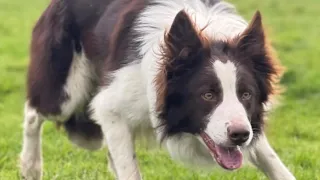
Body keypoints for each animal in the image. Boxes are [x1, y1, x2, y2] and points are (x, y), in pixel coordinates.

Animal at [20, 0, 296, 179]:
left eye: (246, 95)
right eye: (208, 95)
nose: (240, 136)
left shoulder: (249, 125)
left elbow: (273, 162)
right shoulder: (110, 106)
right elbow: (129, 168)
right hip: (67, 93)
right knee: (33, 113)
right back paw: (30, 168)